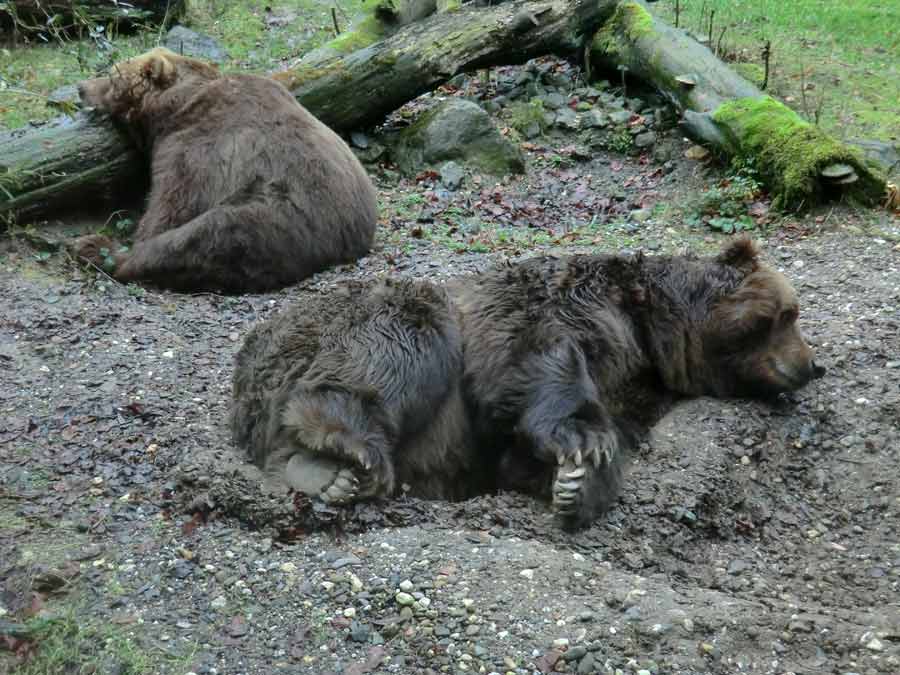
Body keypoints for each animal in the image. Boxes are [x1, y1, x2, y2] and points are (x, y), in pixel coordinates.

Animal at [71, 46, 376, 292]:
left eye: (111, 74)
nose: (80, 87)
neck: (177, 106)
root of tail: (345, 246)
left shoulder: (196, 142)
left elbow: (174, 202)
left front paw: (138, 232)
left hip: (273, 215)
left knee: (200, 240)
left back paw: (95, 248)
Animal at [230, 240, 824, 532]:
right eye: (790, 313)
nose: (812, 365)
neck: (652, 333)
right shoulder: (558, 305)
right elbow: (538, 360)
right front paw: (582, 443)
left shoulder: (634, 390)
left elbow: (534, 454)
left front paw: (577, 484)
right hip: (350, 322)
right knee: (397, 345)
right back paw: (338, 451)